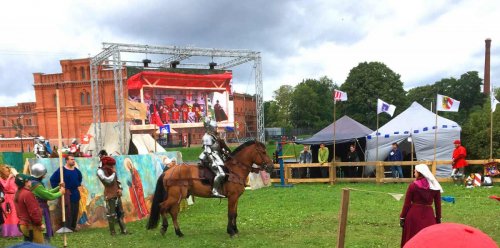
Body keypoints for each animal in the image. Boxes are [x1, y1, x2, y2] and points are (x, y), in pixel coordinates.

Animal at [146, 140, 274, 237]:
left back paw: (179, 232)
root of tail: (168, 171)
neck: (234, 170)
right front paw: (231, 231)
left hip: (178, 197)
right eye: (263, 152)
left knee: (173, 212)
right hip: (175, 196)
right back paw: (164, 228)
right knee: (162, 207)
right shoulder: (232, 197)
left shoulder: (236, 198)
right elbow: (230, 214)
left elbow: (235, 214)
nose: (271, 167)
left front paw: (235, 229)